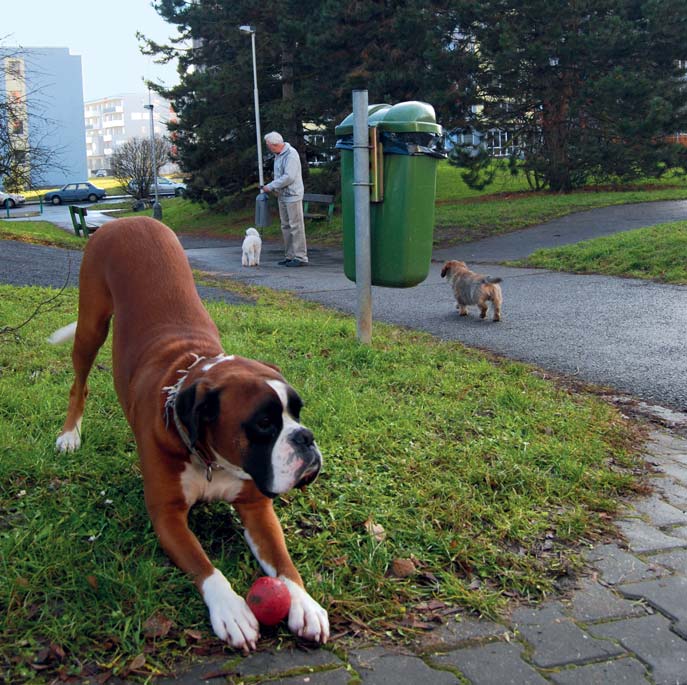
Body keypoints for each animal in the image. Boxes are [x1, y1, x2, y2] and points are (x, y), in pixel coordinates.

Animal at [48, 218, 328, 652]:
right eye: (264, 423)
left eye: (296, 412)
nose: (306, 438)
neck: (210, 458)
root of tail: (125, 220)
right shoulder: (167, 517)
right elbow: (205, 567)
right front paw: (231, 610)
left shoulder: (257, 509)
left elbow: (284, 563)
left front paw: (305, 602)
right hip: (91, 325)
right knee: (80, 383)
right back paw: (69, 436)